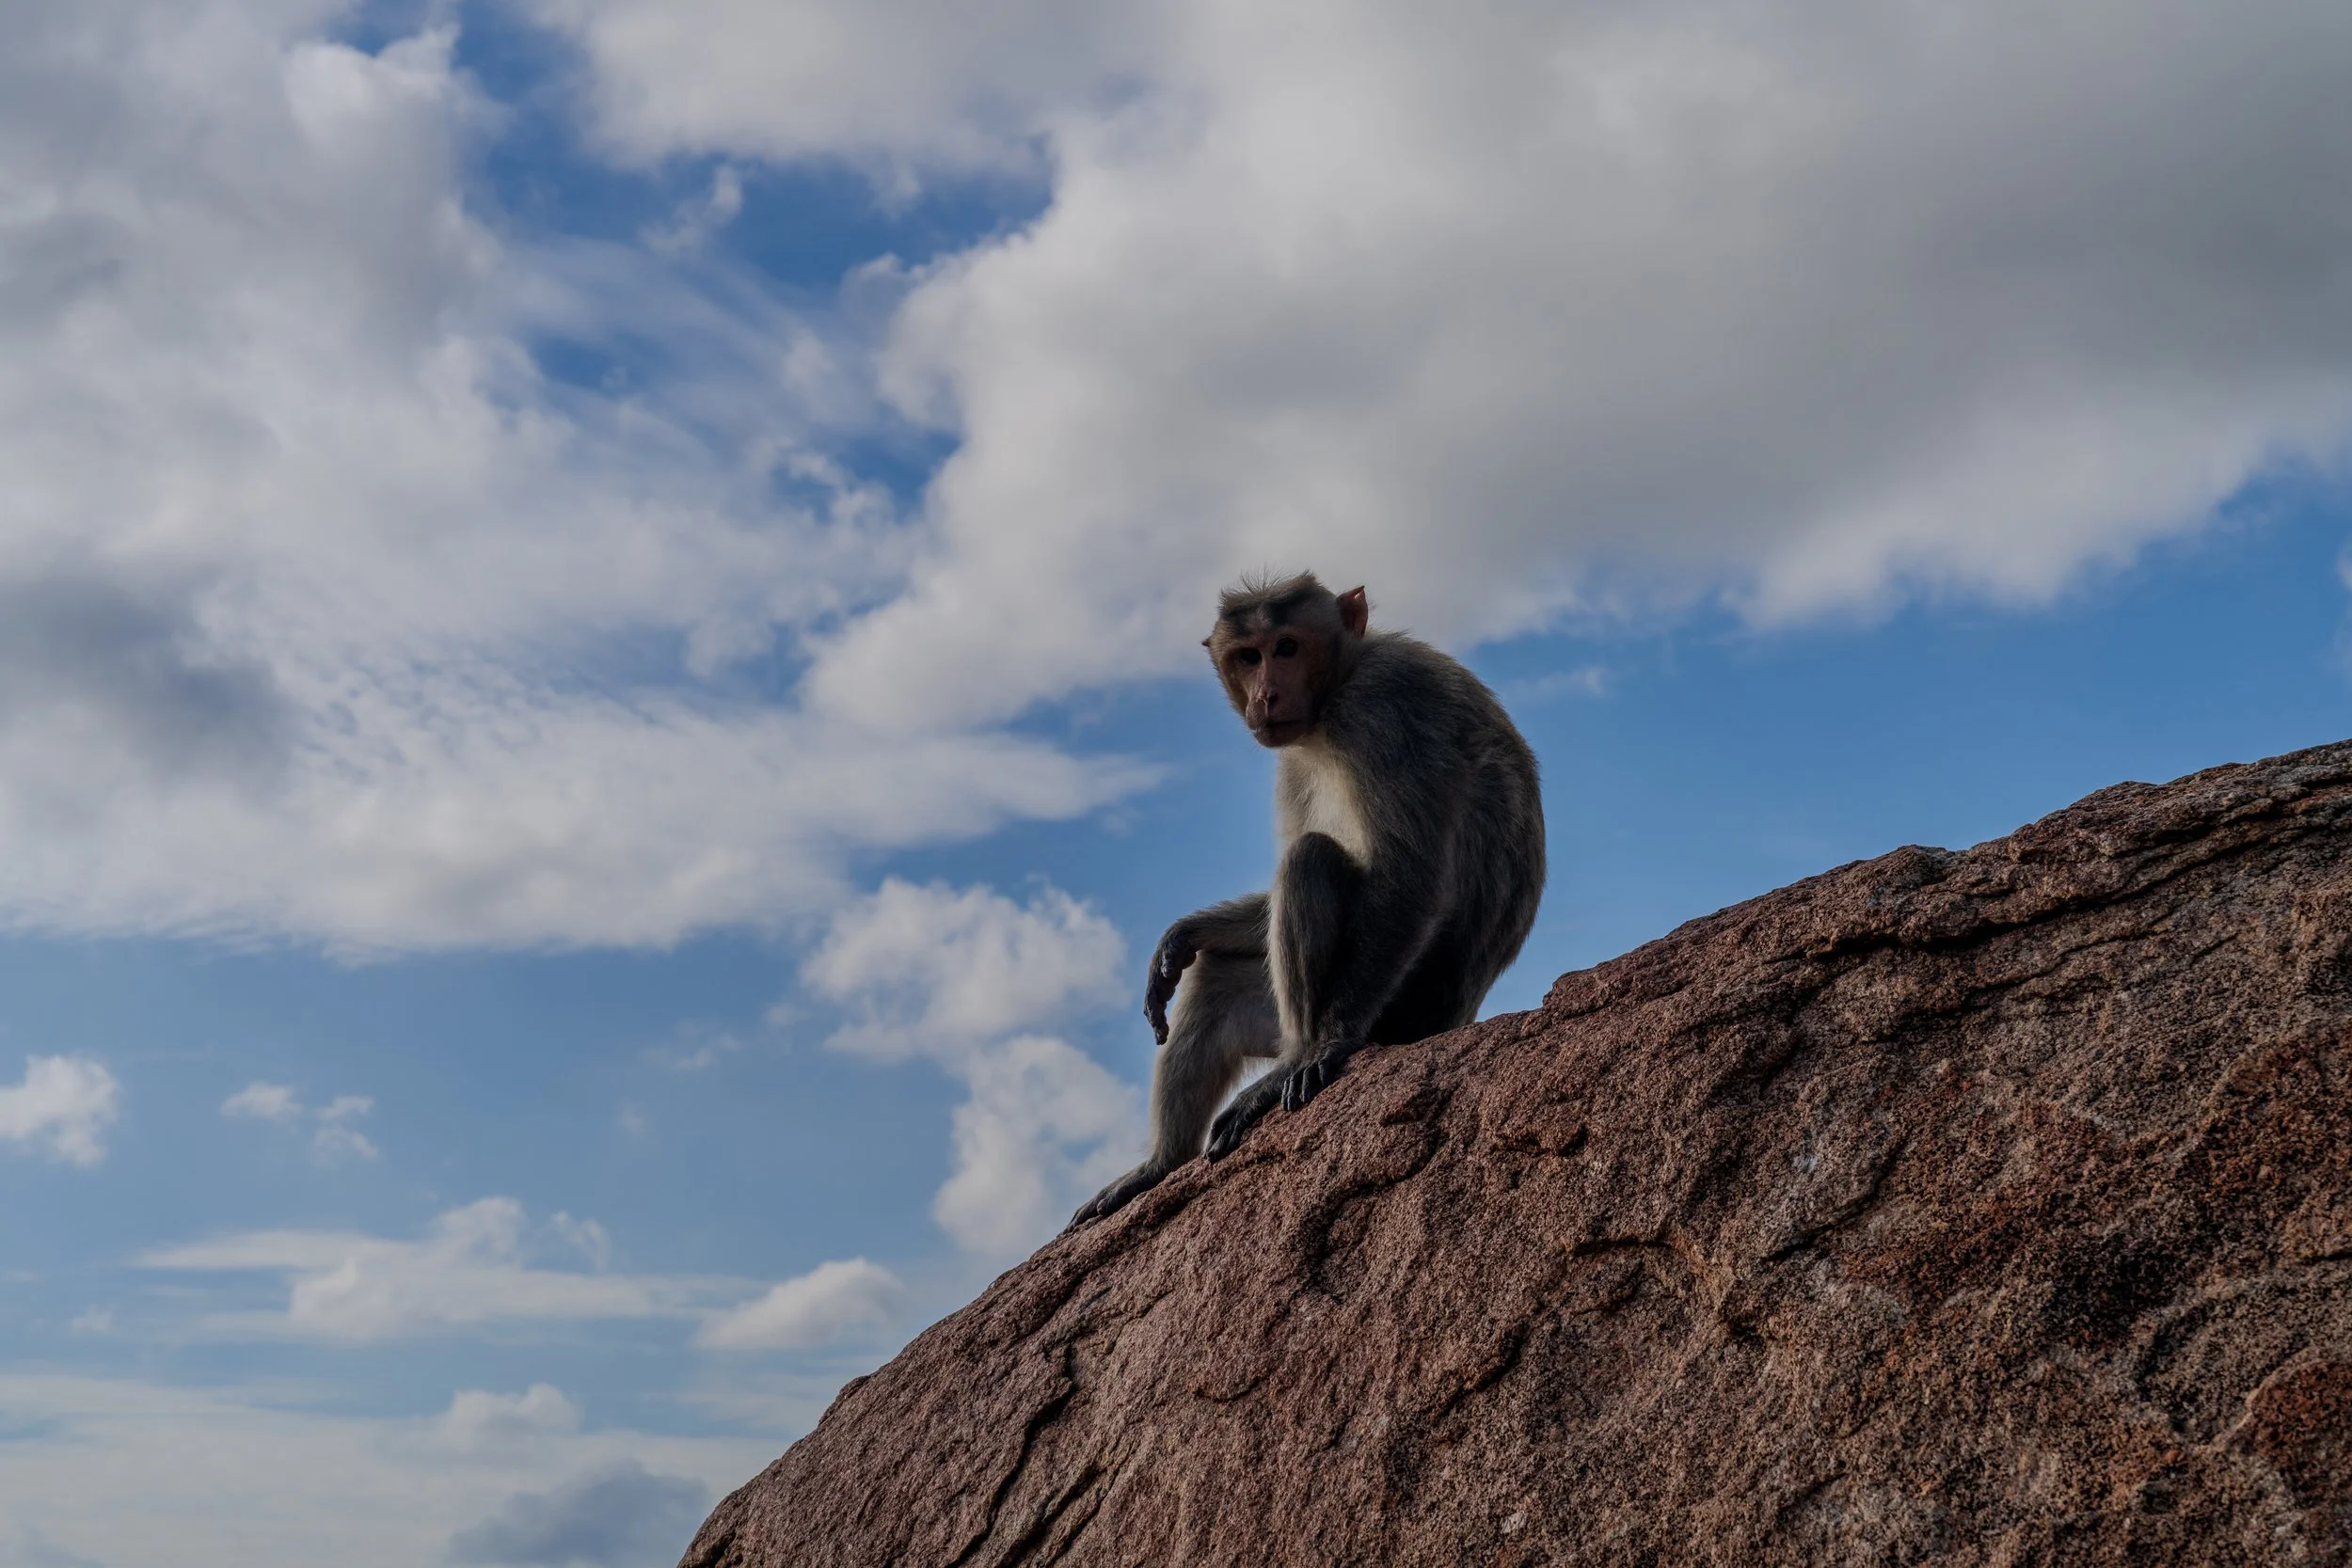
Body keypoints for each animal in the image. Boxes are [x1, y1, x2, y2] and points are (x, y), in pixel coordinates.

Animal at [1069, 571, 1544, 1227]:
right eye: (1249, 656)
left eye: (1287, 647)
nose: (1265, 696)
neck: (1339, 682)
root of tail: (1457, 1017)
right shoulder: (1295, 753)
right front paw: (1182, 936)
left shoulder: (1384, 708)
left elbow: (1408, 875)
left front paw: (1327, 1043)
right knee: (1217, 980)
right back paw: (1161, 1164)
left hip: (1398, 1017)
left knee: (1310, 861)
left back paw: (1292, 1064)